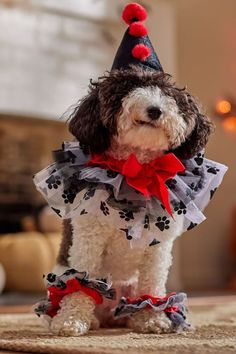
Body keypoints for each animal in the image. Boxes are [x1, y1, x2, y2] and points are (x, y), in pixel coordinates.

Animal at [33, 2, 227, 336]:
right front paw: (71, 320)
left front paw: (150, 318)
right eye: (128, 87)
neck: (136, 170)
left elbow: (152, 285)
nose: (155, 109)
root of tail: (112, 314)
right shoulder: (89, 238)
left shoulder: (158, 249)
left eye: (167, 94)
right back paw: (87, 318)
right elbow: (80, 284)